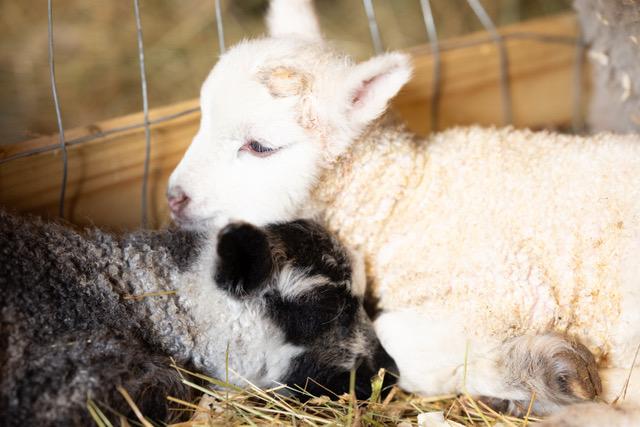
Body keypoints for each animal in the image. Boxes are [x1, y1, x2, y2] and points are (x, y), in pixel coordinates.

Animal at [166, 0, 640, 419]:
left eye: (260, 146)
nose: (174, 197)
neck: (406, 197)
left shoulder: (503, 294)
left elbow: (396, 335)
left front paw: (539, 376)